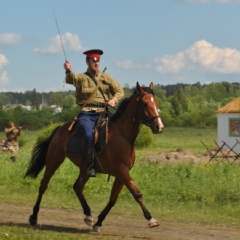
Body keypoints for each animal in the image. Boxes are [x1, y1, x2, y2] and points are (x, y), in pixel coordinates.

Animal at [24, 81, 163, 232]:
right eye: (145, 104)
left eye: (156, 102)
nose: (159, 127)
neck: (123, 136)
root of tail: (60, 129)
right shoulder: (122, 171)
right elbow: (136, 193)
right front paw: (151, 219)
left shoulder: (121, 174)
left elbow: (113, 199)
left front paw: (98, 222)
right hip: (54, 161)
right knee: (43, 185)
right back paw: (33, 216)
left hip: (85, 169)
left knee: (77, 187)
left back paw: (88, 215)